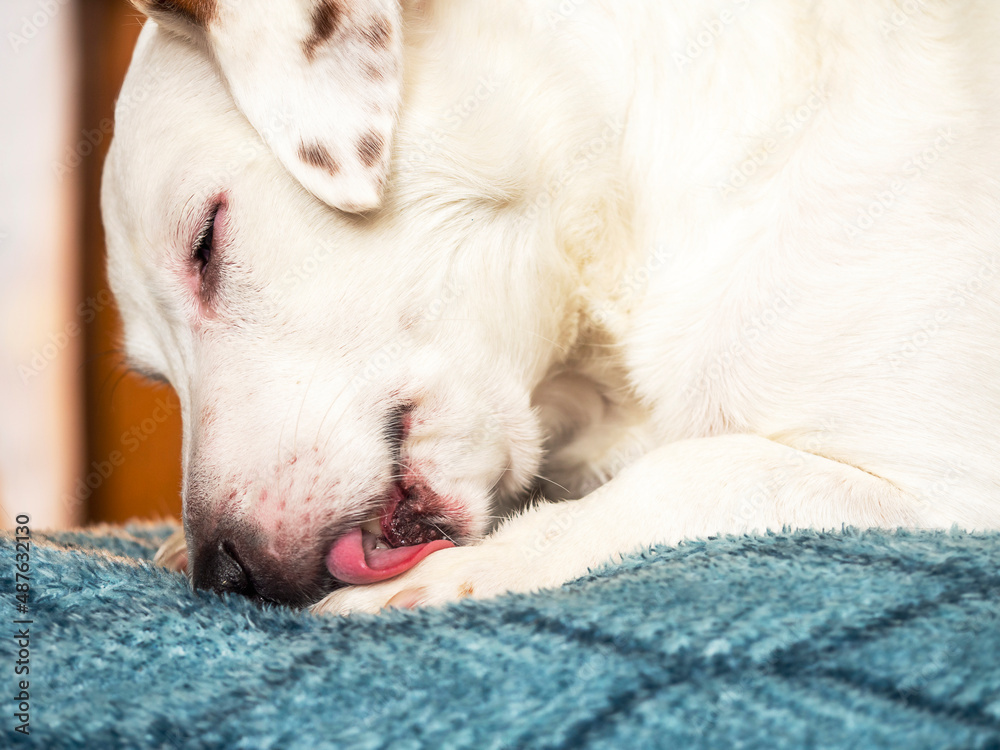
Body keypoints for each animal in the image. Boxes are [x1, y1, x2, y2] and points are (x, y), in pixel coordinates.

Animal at [103, 0, 1000, 612]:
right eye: (155, 375)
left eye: (205, 241)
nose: (224, 572)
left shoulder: (945, 482)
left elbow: (694, 473)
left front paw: (473, 566)